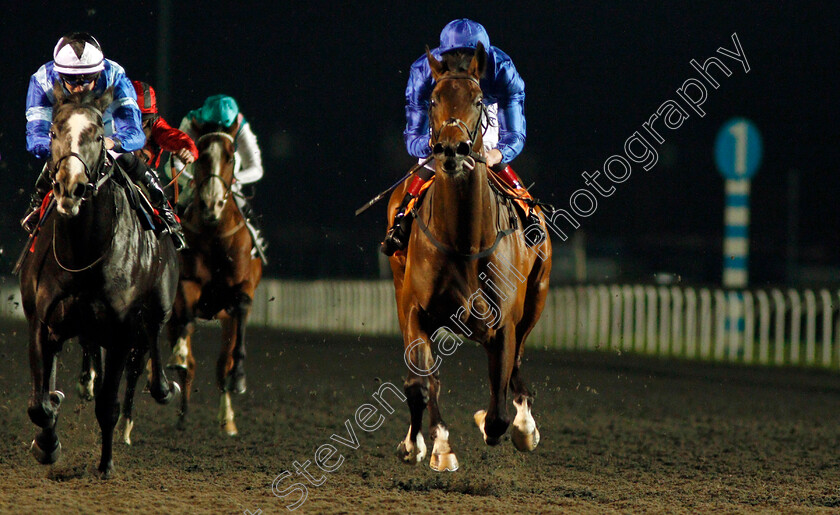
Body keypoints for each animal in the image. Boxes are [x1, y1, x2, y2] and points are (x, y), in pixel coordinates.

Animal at [19, 85, 180, 480]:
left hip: (160, 301)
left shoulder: (121, 329)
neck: (82, 254)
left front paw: (106, 464)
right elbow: (39, 403)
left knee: (153, 341)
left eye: (96, 134)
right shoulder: (41, 321)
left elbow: (108, 403)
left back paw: (164, 388)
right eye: (53, 132)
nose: (70, 186)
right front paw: (47, 441)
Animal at [162, 125, 260, 436]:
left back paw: (226, 419)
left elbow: (242, 308)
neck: (216, 234)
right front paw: (179, 355)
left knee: (220, 364)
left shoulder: (242, 287)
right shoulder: (188, 283)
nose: (211, 204)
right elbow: (187, 320)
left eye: (231, 157)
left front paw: (238, 377)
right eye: (202, 156)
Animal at [386, 44, 552, 472]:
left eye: (479, 99)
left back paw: (525, 425)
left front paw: (515, 427)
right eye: (433, 99)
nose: (451, 150)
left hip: (537, 296)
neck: (463, 240)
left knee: (517, 365)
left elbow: (498, 412)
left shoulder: (506, 321)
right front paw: (430, 446)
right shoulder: (416, 308)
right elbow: (419, 383)